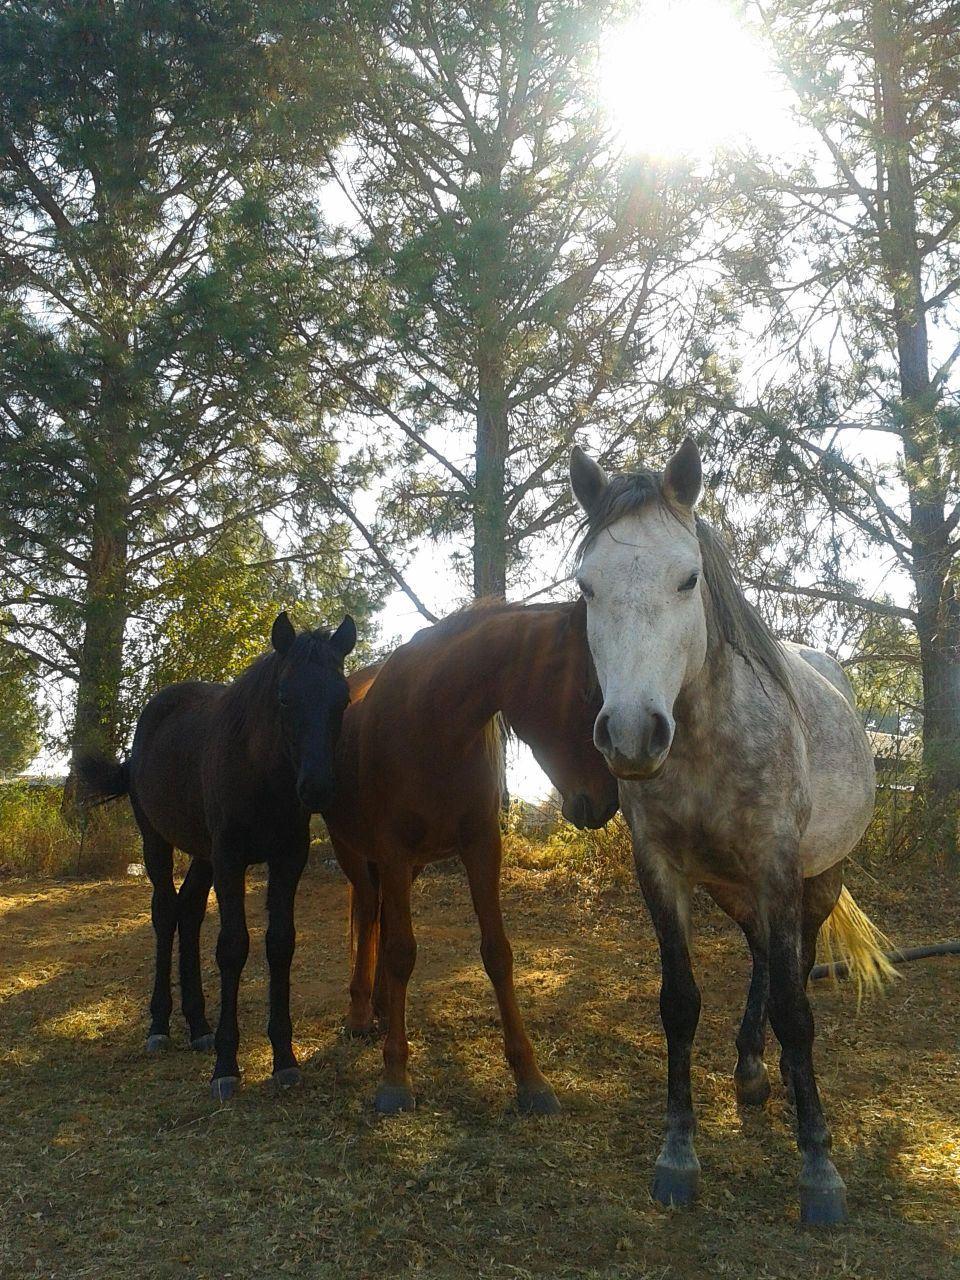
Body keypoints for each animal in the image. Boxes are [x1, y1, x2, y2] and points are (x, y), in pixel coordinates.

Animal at [75, 611, 357, 1100]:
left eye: (341, 698)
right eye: (285, 697)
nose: (318, 787)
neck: (261, 771)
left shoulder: (288, 859)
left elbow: (280, 943)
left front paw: (284, 1058)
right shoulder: (230, 860)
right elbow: (232, 946)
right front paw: (227, 1065)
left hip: (202, 854)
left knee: (188, 912)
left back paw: (198, 1025)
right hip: (158, 843)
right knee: (165, 912)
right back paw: (160, 1025)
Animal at [325, 599, 619, 1116]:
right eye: (588, 690)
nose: (607, 802)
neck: (433, 724)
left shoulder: (480, 847)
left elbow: (497, 953)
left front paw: (531, 1079)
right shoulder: (392, 851)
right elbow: (401, 952)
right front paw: (395, 1077)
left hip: (411, 865)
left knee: (380, 915)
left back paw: (380, 1006)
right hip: (354, 852)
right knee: (367, 916)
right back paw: (361, 1013)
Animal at [569, 438, 893, 1226]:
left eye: (688, 579)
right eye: (587, 588)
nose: (631, 735)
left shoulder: (778, 866)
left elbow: (797, 1010)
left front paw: (819, 1170)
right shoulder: (661, 869)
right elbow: (679, 1003)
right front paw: (678, 1155)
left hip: (815, 879)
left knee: (791, 967)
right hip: (731, 887)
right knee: (759, 957)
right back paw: (749, 1068)